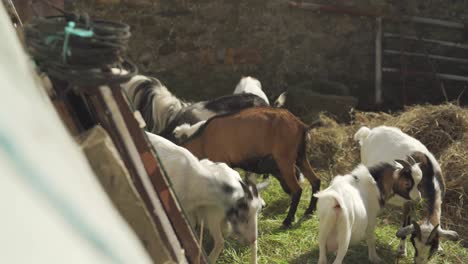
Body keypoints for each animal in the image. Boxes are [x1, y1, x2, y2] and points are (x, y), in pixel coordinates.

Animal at [174, 106, 320, 226]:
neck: (203, 140)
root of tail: (301, 125)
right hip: (300, 157)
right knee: (316, 181)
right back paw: (309, 211)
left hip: (285, 160)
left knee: (297, 189)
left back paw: (288, 220)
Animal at [352, 125, 458, 262]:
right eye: (414, 243)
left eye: (432, 248)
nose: (419, 262)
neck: (429, 176)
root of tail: (369, 132)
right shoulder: (408, 203)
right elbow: (405, 224)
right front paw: (402, 250)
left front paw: (441, 248)